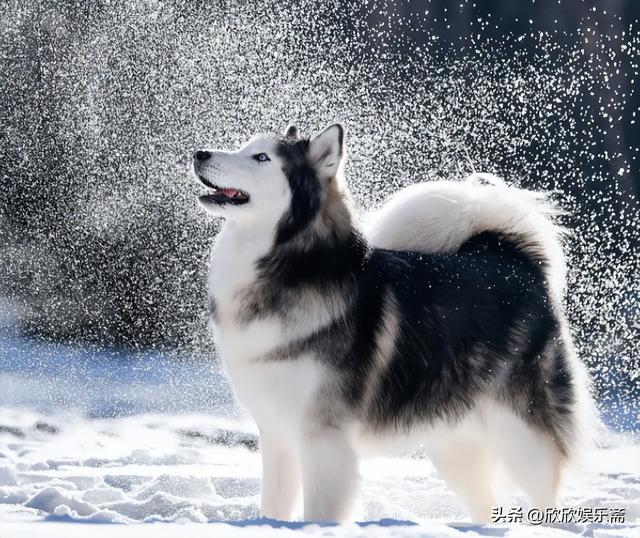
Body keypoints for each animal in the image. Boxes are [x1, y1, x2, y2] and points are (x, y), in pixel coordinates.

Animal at [194, 124, 596, 520]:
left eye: (261, 157)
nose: (199, 154)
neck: (288, 266)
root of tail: (511, 259)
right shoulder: (278, 435)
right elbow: (274, 507)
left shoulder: (323, 438)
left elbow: (319, 511)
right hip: (455, 443)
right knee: (487, 504)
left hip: (522, 436)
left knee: (544, 498)